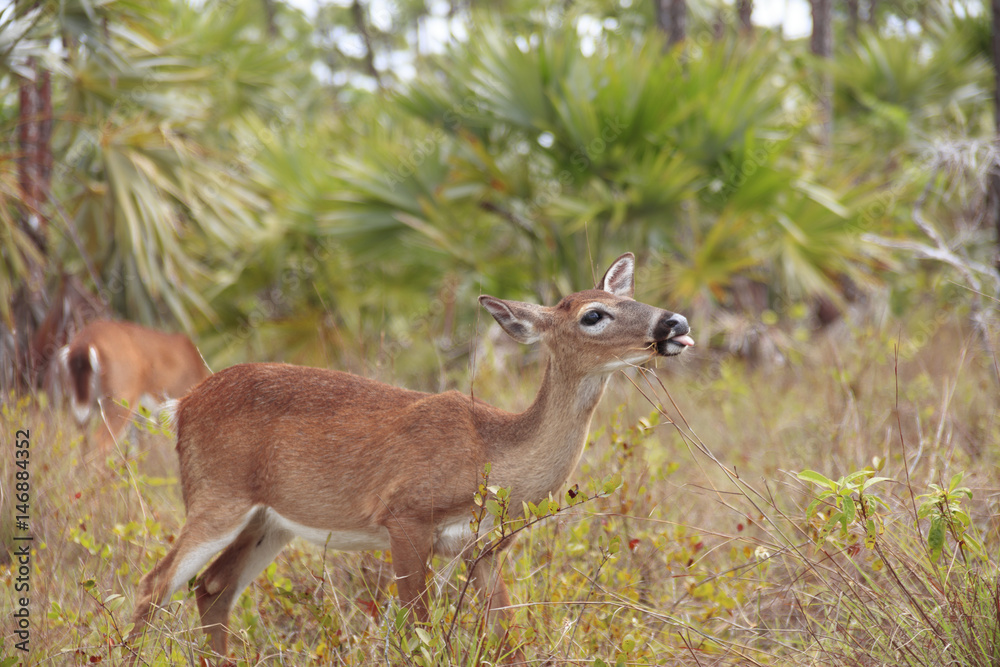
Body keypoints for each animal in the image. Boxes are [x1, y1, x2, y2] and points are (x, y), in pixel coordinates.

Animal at [126, 253, 693, 662]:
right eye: (593, 314)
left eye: (632, 296)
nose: (676, 322)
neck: (494, 453)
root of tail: (182, 405)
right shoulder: (405, 515)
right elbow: (416, 632)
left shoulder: (485, 549)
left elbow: (507, 642)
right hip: (216, 495)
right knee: (154, 585)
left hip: (270, 522)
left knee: (212, 588)